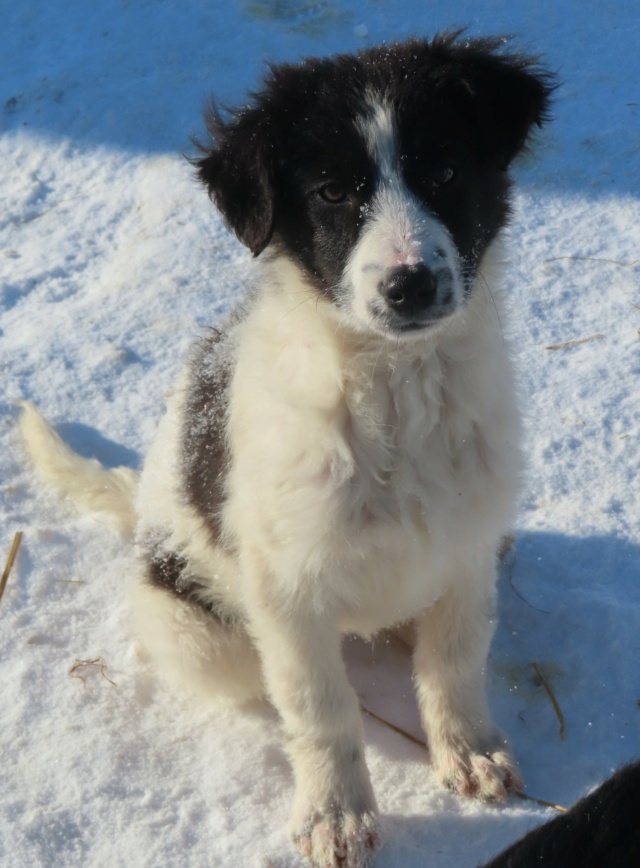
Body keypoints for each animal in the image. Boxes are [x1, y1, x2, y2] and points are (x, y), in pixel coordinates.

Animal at [22, 32, 556, 868]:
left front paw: (468, 751)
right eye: (333, 192)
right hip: (200, 631)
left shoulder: (468, 551)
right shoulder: (288, 589)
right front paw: (336, 813)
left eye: (444, 172)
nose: (408, 285)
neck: (393, 389)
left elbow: (454, 660)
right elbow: (321, 707)